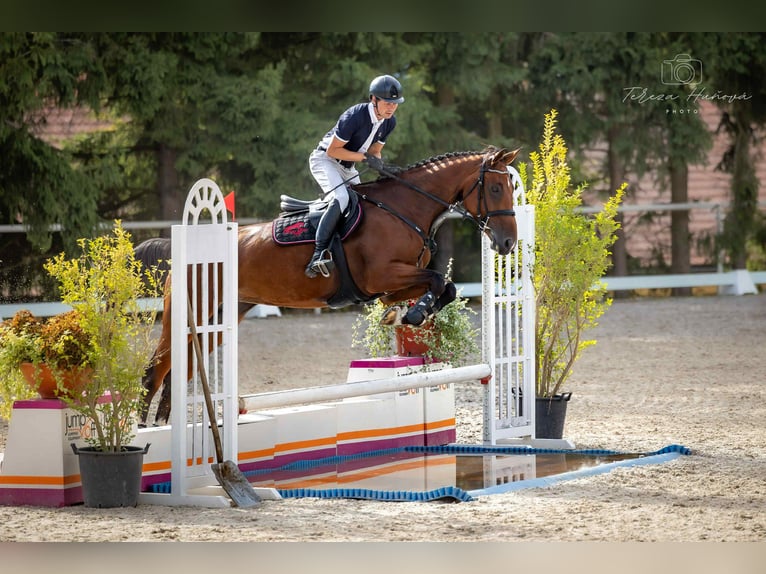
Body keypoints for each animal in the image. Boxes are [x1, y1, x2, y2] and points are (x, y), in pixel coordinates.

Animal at [135, 146, 520, 426]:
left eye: (512, 188)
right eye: (495, 188)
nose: (507, 244)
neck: (405, 208)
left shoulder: (389, 287)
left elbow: (445, 287)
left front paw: (407, 315)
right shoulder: (382, 276)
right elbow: (439, 280)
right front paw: (413, 316)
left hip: (217, 318)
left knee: (179, 372)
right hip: (187, 313)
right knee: (155, 371)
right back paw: (143, 436)